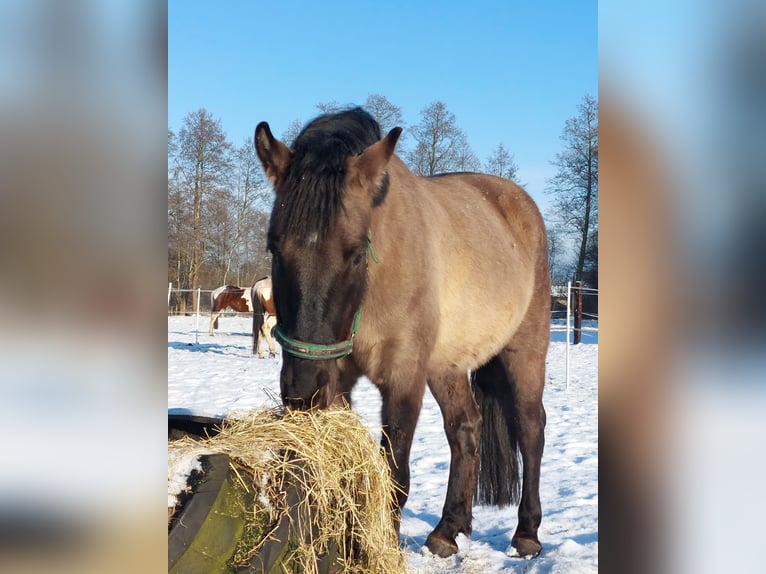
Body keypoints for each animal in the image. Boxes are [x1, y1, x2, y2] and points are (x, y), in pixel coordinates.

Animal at [254, 108, 549, 559]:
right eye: (274, 247)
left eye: (356, 253)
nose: (302, 391)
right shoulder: (338, 383)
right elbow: (353, 476)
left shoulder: (403, 378)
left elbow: (395, 476)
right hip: (446, 366)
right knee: (466, 428)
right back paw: (449, 528)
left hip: (526, 351)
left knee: (531, 428)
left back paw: (527, 531)